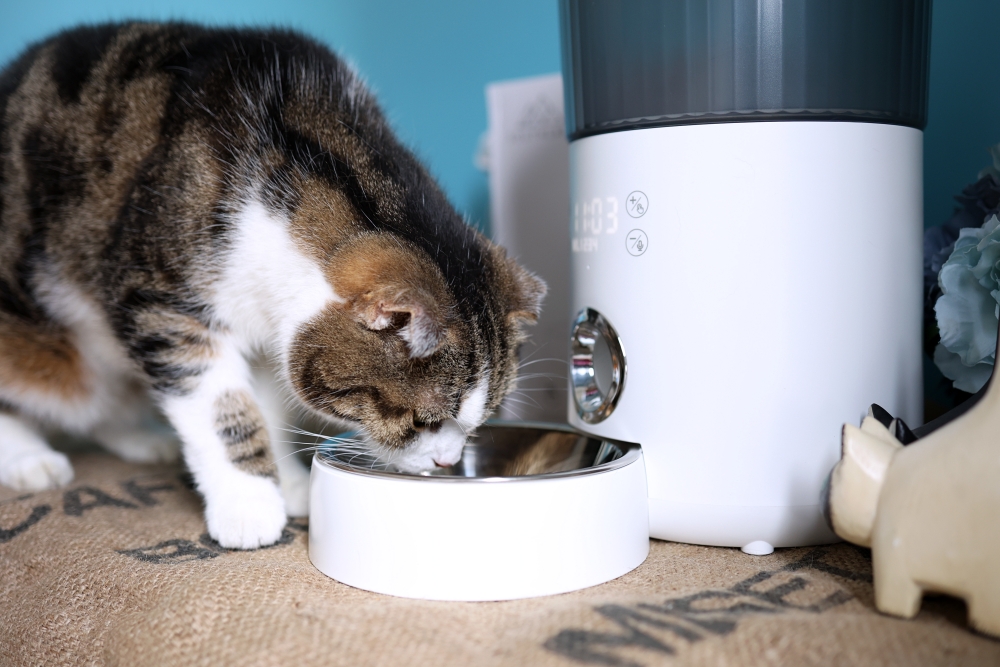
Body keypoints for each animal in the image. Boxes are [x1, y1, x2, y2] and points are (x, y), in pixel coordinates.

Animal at [0, 23, 544, 548]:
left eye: (478, 422)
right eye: (422, 421)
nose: (448, 462)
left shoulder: (271, 334)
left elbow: (269, 407)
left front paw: (290, 484)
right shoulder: (167, 310)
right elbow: (224, 408)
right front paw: (250, 504)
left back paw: (143, 439)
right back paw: (31, 461)